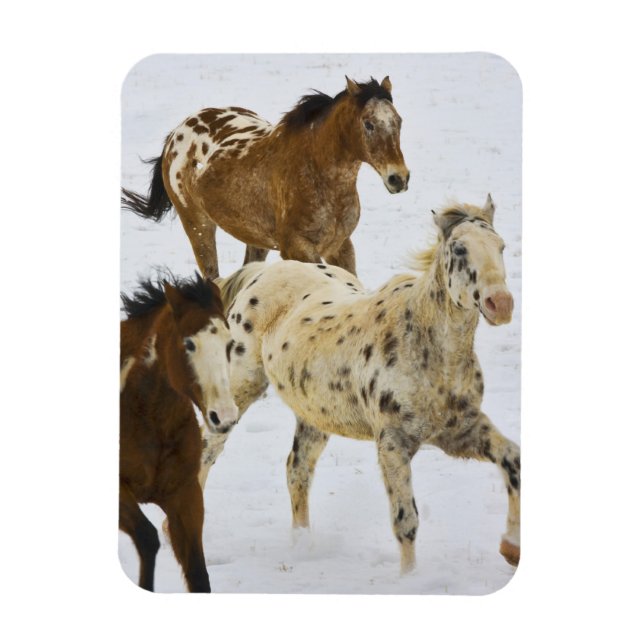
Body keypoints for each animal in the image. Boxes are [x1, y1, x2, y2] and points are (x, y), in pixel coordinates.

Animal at [120, 272, 238, 592]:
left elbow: (198, 574)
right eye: (189, 344)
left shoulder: (185, 495)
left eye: (230, 343)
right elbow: (147, 539)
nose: (224, 416)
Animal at [121, 76, 409, 280]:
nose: (399, 178)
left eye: (399, 121)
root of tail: (175, 135)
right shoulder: (297, 249)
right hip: (198, 226)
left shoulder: (340, 246)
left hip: (255, 240)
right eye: (368, 123)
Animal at [199, 195, 520, 574]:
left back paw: (303, 546)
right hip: (239, 390)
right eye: (459, 248)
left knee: (297, 469)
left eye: (501, 246)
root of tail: (261, 272)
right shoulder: (392, 443)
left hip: (315, 415)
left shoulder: (460, 432)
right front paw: (409, 578)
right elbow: (405, 521)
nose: (500, 304)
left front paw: (511, 548)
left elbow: (513, 460)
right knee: (209, 449)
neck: (429, 351)